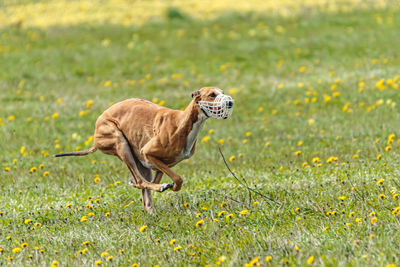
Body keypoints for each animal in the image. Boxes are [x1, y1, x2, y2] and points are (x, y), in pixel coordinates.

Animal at [54, 87, 233, 214]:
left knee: (144, 192)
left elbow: (166, 182)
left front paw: (169, 187)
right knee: (141, 182)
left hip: (140, 162)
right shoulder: (148, 153)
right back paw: (157, 188)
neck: (184, 122)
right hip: (121, 143)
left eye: (222, 92)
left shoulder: (161, 163)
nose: (230, 102)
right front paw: (168, 186)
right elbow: (178, 179)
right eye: (212, 94)